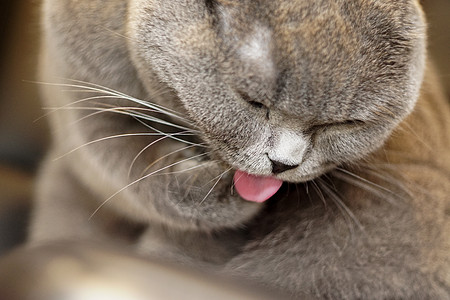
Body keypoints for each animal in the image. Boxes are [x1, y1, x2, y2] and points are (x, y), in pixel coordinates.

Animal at [29, 0, 450, 298]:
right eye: (253, 102)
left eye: (341, 124)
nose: (283, 163)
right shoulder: (79, 92)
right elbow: (118, 166)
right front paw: (213, 191)